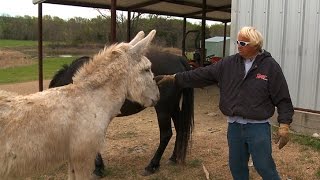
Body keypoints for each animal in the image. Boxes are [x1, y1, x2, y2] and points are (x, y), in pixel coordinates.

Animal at [48, 47, 194, 176]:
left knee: (166, 134)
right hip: (172, 107)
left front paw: (98, 169)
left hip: (163, 108)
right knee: (180, 129)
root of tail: (178, 59)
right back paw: (174, 158)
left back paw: (152, 166)